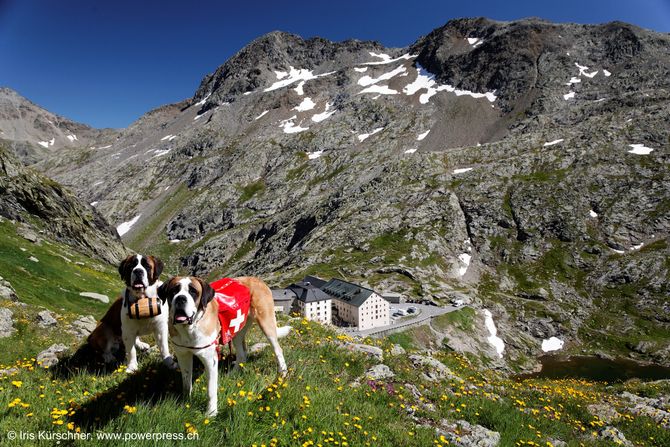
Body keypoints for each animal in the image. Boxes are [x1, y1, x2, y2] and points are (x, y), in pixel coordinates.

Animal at [160, 274, 294, 418]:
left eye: (193, 291)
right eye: (173, 291)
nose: (180, 298)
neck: (190, 328)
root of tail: (256, 279)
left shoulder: (210, 359)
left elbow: (211, 389)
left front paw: (211, 413)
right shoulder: (183, 355)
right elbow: (186, 382)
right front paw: (186, 402)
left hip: (266, 323)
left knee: (277, 349)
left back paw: (282, 373)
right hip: (237, 331)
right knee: (242, 354)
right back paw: (233, 373)